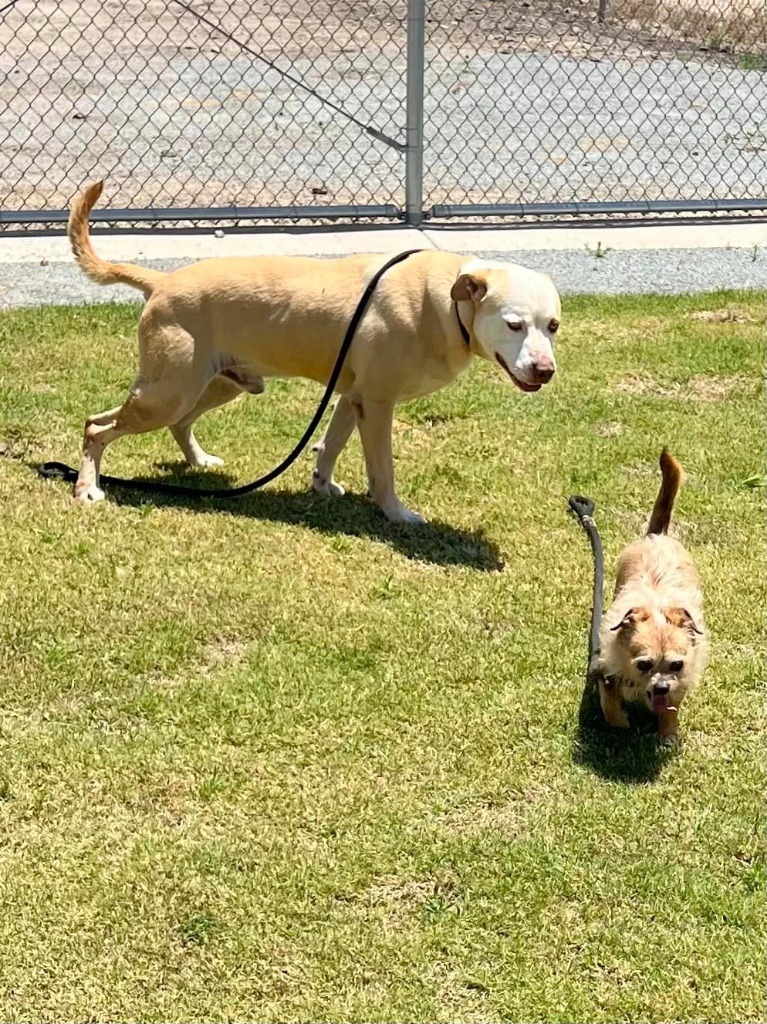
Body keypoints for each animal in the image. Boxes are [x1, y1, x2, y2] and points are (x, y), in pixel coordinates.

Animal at [68, 180, 561, 524]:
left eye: (553, 325)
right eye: (514, 324)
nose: (544, 370)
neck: (446, 302)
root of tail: (161, 282)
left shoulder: (353, 395)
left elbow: (330, 444)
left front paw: (322, 485)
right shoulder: (377, 403)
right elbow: (382, 470)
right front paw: (397, 514)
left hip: (212, 384)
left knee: (170, 422)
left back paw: (199, 461)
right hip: (169, 390)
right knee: (97, 427)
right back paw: (87, 488)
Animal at [593, 450, 708, 745]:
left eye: (676, 665)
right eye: (644, 664)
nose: (662, 686)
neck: (656, 608)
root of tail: (658, 535)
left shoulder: (681, 681)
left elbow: (671, 708)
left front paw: (667, 733)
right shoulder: (605, 667)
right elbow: (608, 702)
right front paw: (619, 722)